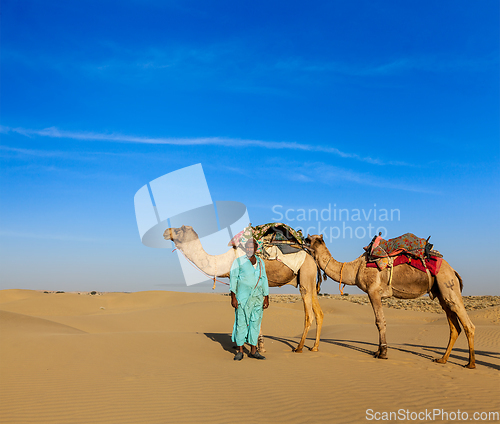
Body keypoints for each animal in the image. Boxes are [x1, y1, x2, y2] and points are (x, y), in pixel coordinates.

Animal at [164, 227, 324, 352]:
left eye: (178, 230)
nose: (165, 231)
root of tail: (312, 257)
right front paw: (245, 344)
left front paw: (258, 346)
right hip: (309, 280)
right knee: (319, 313)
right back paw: (314, 347)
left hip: (305, 274)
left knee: (309, 314)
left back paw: (299, 348)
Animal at [304, 234, 476, 370]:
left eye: (307, 239)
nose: (301, 243)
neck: (354, 269)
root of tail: (453, 271)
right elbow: (380, 321)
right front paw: (378, 351)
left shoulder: (373, 291)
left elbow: (380, 321)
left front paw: (382, 353)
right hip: (441, 293)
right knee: (454, 326)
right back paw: (442, 359)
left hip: (448, 284)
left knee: (467, 324)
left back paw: (470, 363)